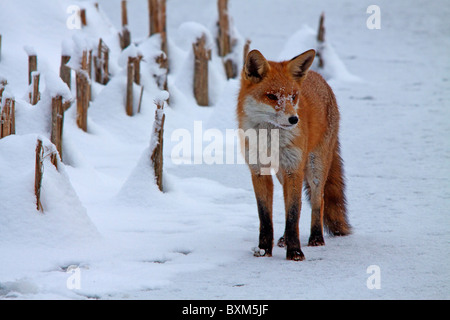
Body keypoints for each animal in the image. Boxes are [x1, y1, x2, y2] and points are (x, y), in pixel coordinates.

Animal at [237, 49, 350, 260]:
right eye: (272, 96)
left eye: (293, 96)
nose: (294, 119)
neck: (271, 140)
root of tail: (317, 75)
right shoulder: (259, 170)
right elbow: (265, 217)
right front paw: (264, 250)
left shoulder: (294, 169)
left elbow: (293, 214)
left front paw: (295, 252)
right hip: (283, 175)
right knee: (288, 201)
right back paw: (283, 239)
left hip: (315, 168)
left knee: (318, 200)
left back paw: (316, 237)